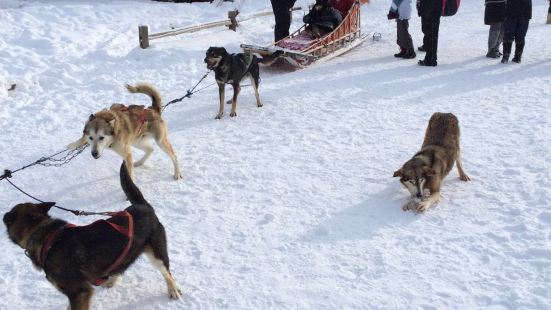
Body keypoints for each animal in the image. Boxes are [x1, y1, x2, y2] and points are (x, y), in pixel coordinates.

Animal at [3, 163, 182, 308]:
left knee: (167, 272)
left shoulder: (79, 291)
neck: (45, 235)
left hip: (157, 254)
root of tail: (141, 206)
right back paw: (111, 279)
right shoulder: (78, 293)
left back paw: (173, 289)